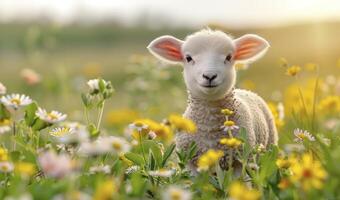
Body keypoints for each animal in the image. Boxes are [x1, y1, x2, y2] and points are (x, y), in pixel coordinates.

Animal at [147, 28, 278, 172]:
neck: (210, 129)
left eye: (228, 57)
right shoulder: (191, 163)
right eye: (188, 58)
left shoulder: (241, 161)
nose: (209, 76)